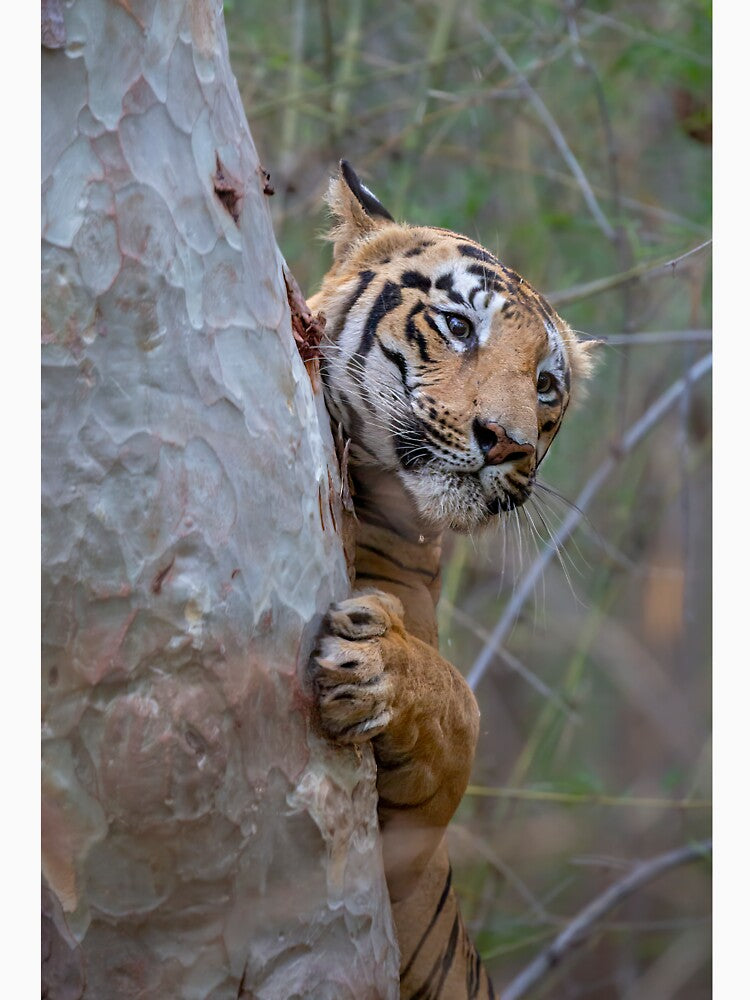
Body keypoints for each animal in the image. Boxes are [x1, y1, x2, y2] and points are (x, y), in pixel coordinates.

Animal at [307, 161, 596, 999]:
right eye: (461, 326)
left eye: (545, 385)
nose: (508, 442)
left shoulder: (403, 860)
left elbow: (461, 704)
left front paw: (376, 668)